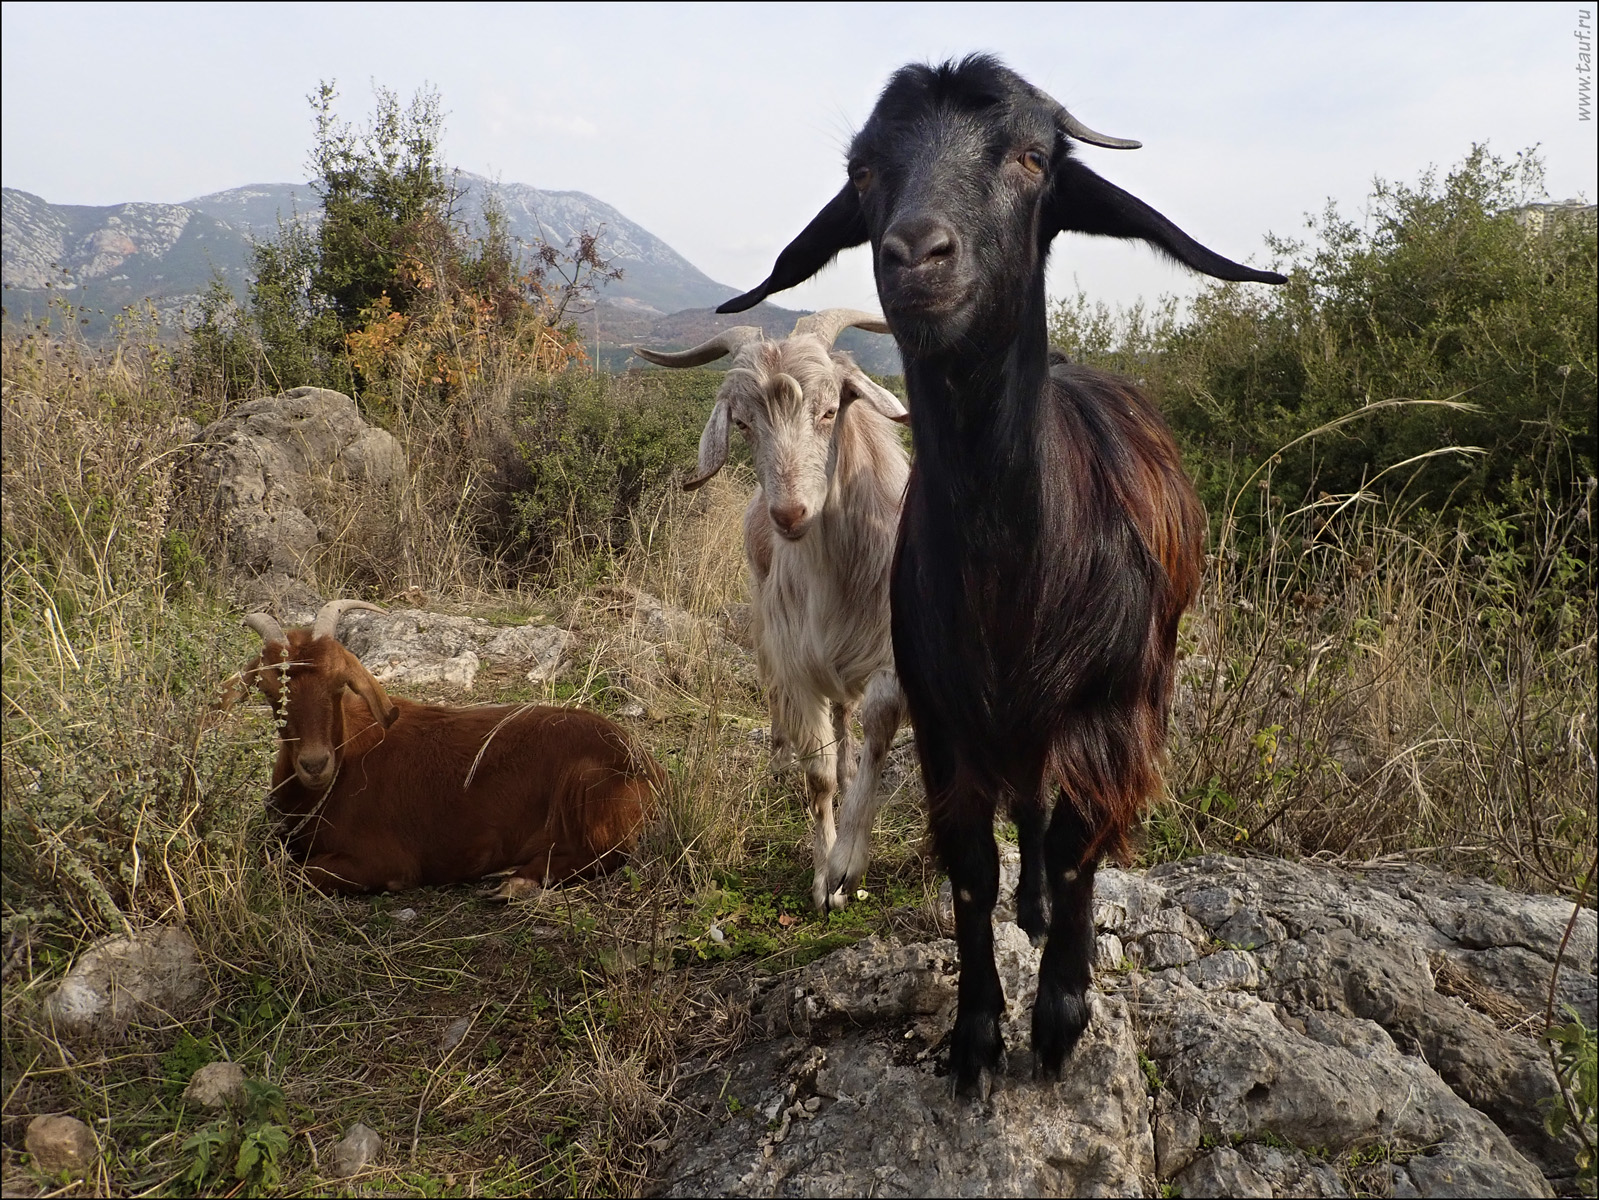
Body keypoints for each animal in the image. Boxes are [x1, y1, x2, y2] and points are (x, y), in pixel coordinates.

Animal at [231, 599, 661, 896]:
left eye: (339, 685)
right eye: (269, 691)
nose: (315, 764)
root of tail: (645, 765)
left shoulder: (385, 862)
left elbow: (292, 874)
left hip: (588, 790)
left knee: (607, 854)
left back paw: (517, 881)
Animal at [636, 310, 910, 912]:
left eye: (831, 410)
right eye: (742, 424)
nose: (788, 514)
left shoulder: (892, 653)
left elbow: (877, 736)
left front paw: (847, 863)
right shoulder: (795, 659)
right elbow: (819, 777)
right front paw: (824, 879)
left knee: (846, 715)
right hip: (765, 628)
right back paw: (780, 759)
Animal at [717, 55, 1285, 1094]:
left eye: (1030, 157)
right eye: (863, 171)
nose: (915, 255)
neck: (1015, 569)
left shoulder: (1114, 709)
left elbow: (1074, 847)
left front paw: (1059, 1013)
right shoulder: (943, 717)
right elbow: (972, 868)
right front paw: (976, 1032)